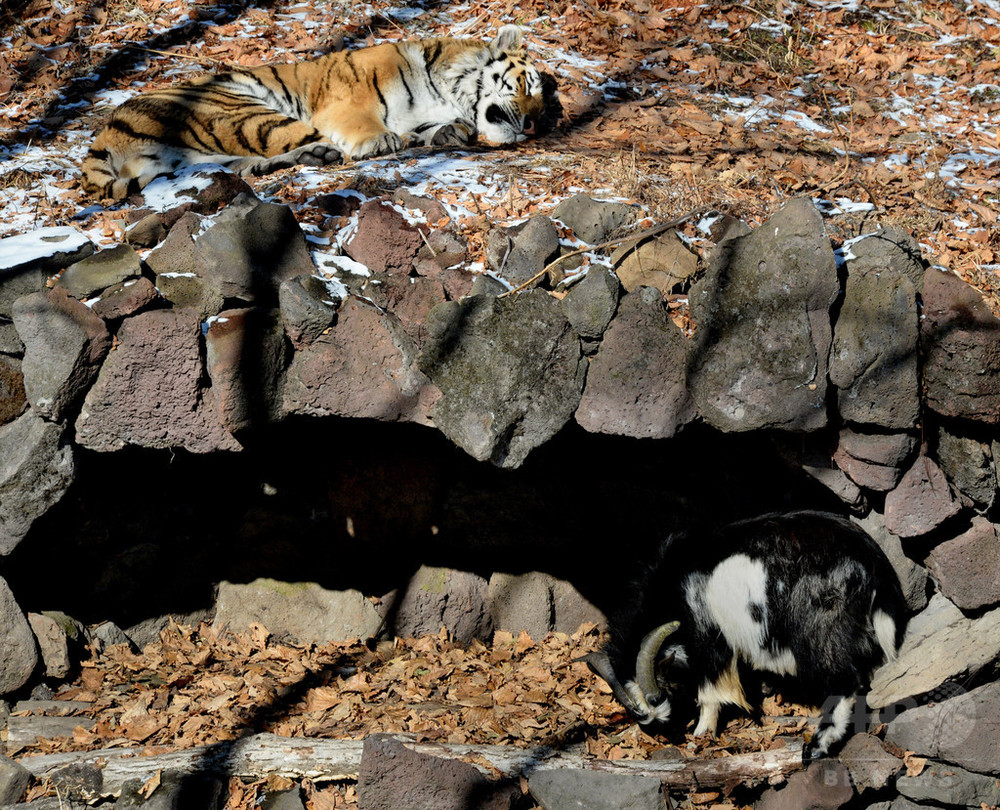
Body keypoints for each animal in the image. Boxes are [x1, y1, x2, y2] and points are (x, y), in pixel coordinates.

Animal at [81, 27, 544, 201]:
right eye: (527, 87)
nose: (533, 126)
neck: (449, 92)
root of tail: (105, 132)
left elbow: (432, 128)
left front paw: (449, 134)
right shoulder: (346, 103)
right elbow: (369, 125)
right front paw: (382, 140)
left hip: (205, 152)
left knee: (249, 163)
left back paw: (311, 158)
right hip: (240, 109)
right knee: (293, 138)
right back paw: (328, 153)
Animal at [584, 512, 908, 756]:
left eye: (661, 693)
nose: (659, 730)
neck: (675, 585)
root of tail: (872, 562)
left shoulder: (709, 638)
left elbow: (709, 693)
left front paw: (702, 733)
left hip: (820, 629)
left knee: (844, 681)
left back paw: (817, 746)